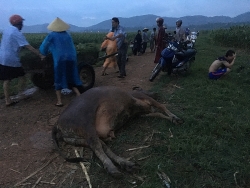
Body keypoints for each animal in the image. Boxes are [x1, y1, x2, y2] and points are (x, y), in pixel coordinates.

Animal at [52, 86, 182, 177]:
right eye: (141, 88)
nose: (156, 93)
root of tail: (57, 124)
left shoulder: (141, 114)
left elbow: (159, 113)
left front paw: (171, 118)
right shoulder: (142, 98)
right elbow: (162, 106)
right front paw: (174, 117)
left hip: (77, 139)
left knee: (102, 146)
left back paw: (126, 164)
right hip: (86, 125)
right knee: (97, 147)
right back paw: (112, 168)